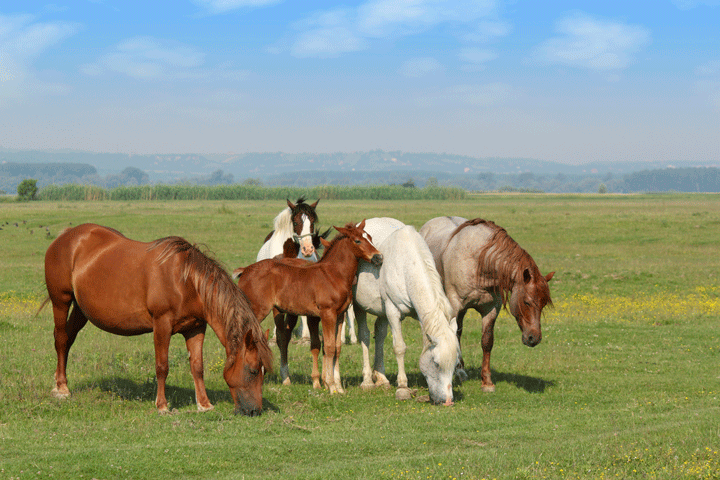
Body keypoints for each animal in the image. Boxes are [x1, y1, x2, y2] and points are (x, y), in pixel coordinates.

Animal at [39, 223, 273, 416]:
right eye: (253, 370)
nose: (254, 411)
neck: (187, 281)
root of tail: (66, 236)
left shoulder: (196, 328)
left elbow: (197, 366)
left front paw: (204, 404)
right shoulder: (162, 325)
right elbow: (162, 366)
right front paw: (162, 405)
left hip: (81, 310)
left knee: (68, 339)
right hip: (61, 301)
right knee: (61, 339)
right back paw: (62, 388)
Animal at [234, 221, 382, 394]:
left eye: (370, 237)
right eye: (357, 241)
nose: (379, 257)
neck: (333, 274)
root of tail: (245, 270)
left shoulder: (339, 315)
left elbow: (337, 347)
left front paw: (338, 387)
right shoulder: (327, 314)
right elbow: (329, 347)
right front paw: (331, 386)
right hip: (257, 310)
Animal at [352, 218, 460, 406]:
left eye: (455, 366)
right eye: (436, 364)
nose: (448, 401)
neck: (406, 265)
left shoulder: (418, 315)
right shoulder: (393, 311)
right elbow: (399, 347)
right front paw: (402, 387)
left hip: (382, 312)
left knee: (380, 334)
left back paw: (381, 378)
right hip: (359, 307)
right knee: (364, 335)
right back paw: (367, 381)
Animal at [419, 217, 554, 393]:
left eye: (543, 304)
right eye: (526, 301)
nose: (534, 338)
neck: (479, 263)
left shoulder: (491, 309)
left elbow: (487, 341)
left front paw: (487, 382)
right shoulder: (454, 306)